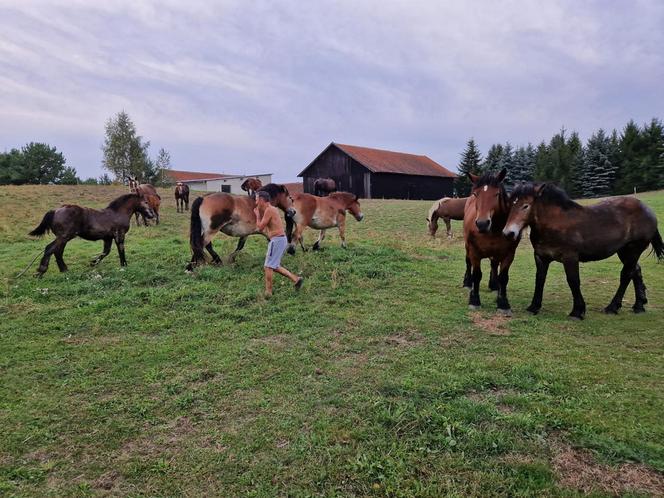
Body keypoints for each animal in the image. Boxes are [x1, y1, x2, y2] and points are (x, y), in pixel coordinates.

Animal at [462, 168, 520, 316]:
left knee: (494, 265)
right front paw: (474, 300)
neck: (493, 230)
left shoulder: (509, 254)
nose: (482, 223)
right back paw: (467, 283)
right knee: (468, 262)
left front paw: (503, 303)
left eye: (497, 194)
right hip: (467, 247)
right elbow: (477, 275)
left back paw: (494, 286)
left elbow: (503, 277)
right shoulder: (474, 252)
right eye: (476, 194)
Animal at [504, 183, 664, 320]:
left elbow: (573, 281)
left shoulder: (570, 258)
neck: (555, 223)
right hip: (624, 252)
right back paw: (639, 305)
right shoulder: (541, 257)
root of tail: (647, 209)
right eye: (511, 205)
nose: (509, 233)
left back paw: (612, 307)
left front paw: (577, 311)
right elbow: (539, 279)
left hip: (634, 249)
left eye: (525, 206)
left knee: (626, 275)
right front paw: (534, 307)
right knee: (636, 271)